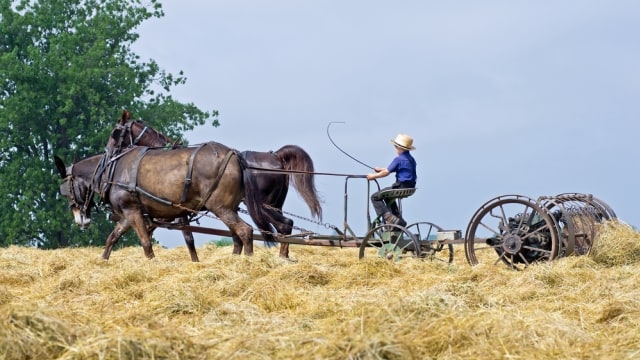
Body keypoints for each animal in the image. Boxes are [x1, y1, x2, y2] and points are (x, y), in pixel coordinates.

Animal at [52, 139, 268, 260]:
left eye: (66, 191)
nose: (81, 220)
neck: (111, 170)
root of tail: (234, 155)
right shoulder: (128, 215)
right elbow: (111, 238)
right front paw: (102, 262)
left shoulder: (132, 211)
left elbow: (146, 243)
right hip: (229, 207)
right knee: (236, 237)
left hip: (221, 207)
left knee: (245, 232)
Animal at [108, 110, 324, 258]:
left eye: (115, 132)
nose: (109, 152)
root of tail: (275, 156)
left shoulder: (175, 214)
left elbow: (187, 239)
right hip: (269, 206)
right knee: (284, 226)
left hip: (261, 206)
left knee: (281, 227)